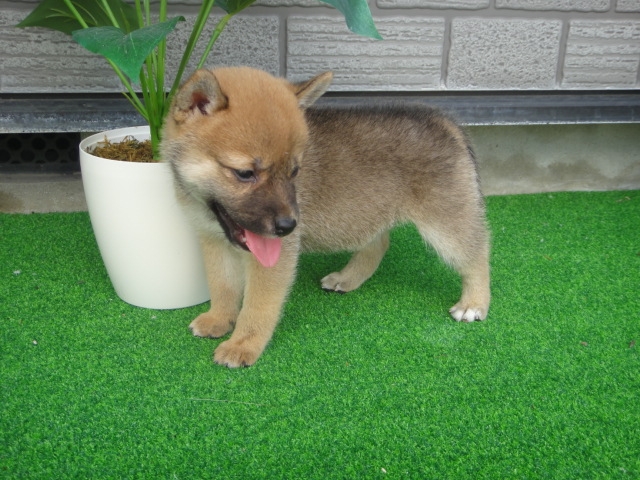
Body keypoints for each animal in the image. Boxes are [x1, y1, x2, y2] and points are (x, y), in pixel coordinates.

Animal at [161, 67, 491, 368]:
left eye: (295, 171)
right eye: (245, 173)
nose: (288, 226)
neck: (210, 210)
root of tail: (445, 120)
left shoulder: (273, 256)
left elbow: (258, 304)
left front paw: (243, 345)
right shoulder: (213, 242)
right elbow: (222, 287)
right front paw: (218, 319)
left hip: (446, 221)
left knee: (478, 253)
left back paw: (474, 303)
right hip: (369, 211)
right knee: (378, 244)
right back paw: (348, 278)